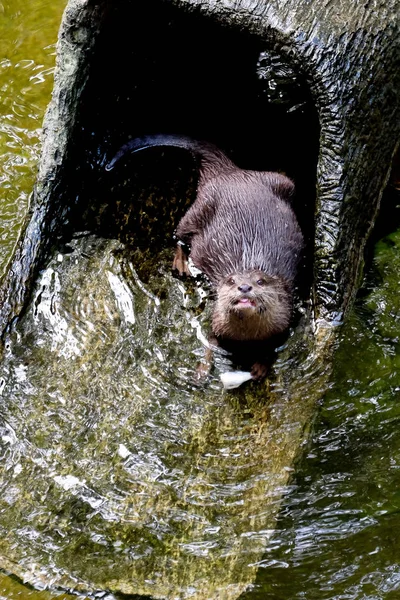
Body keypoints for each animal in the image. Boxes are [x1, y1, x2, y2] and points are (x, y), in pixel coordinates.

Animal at [106, 135, 304, 380]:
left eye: (260, 281)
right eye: (231, 281)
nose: (244, 287)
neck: (247, 337)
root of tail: (230, 172)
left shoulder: (284, 324)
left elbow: (273, 349)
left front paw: (260, 366)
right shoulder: (216, 323)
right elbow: (210, 343)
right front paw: (202, 369)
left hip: (276, 182)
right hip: (202, 205)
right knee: (179, 234)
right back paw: (181, 263)